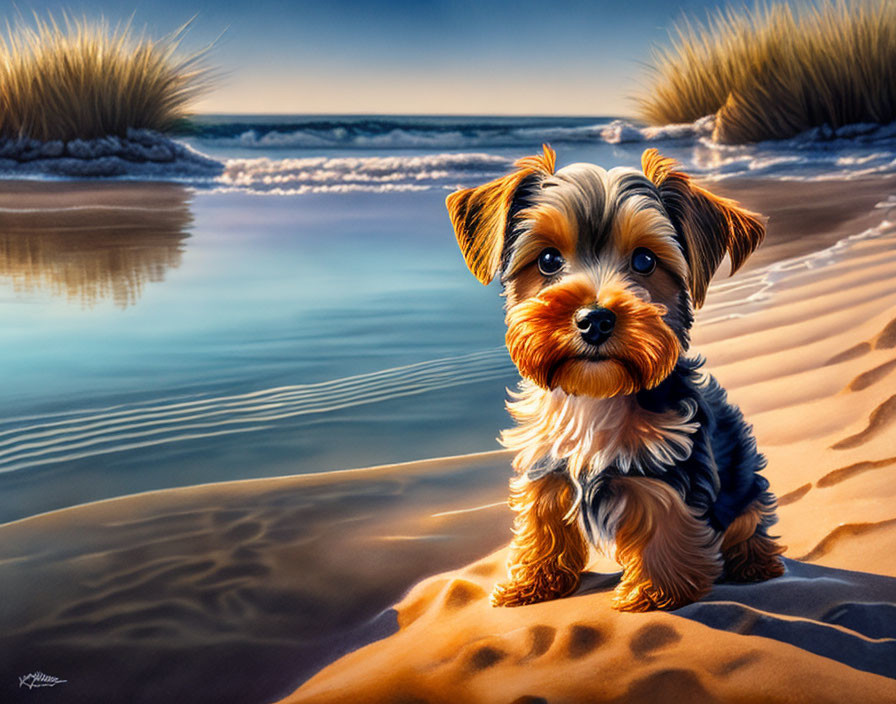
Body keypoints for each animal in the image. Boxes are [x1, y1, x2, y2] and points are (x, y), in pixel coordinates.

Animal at [448, 144, 784, 612]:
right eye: (548, 260)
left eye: (645, 260)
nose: (595, 320)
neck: (595, 393)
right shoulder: (546, 460)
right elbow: (541, 519)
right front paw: (533, 582)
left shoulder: (669, 462)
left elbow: (667, 519)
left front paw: (656, 593)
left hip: (741, 472)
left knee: (750, 515)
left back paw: (755, 564)